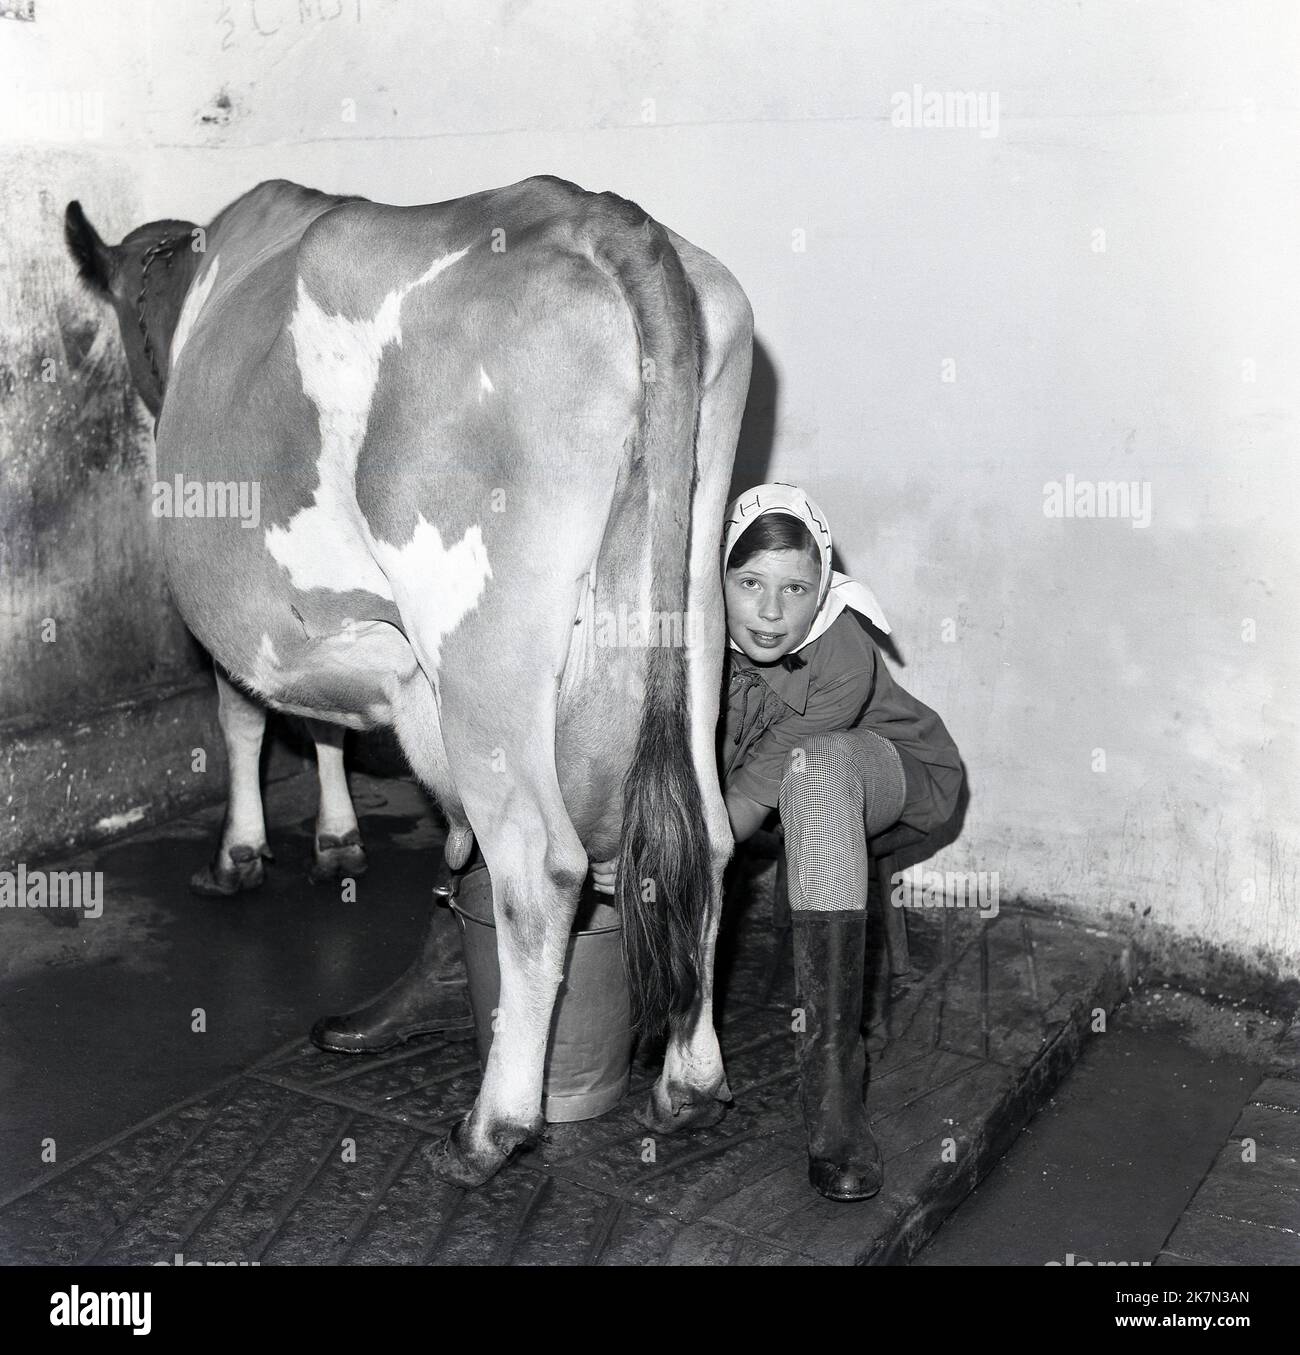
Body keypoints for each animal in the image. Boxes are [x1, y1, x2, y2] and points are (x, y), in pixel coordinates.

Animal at [64, 176, 754, 1186]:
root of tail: (600, 215)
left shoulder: (242, 626)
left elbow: (243, 719)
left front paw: (240, 854)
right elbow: (329, 732)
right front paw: (339, 837)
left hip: (480, 643)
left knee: (536, 862)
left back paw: (493, 1127)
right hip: (696, 606)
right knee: (701, 836)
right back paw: (692, 1083)